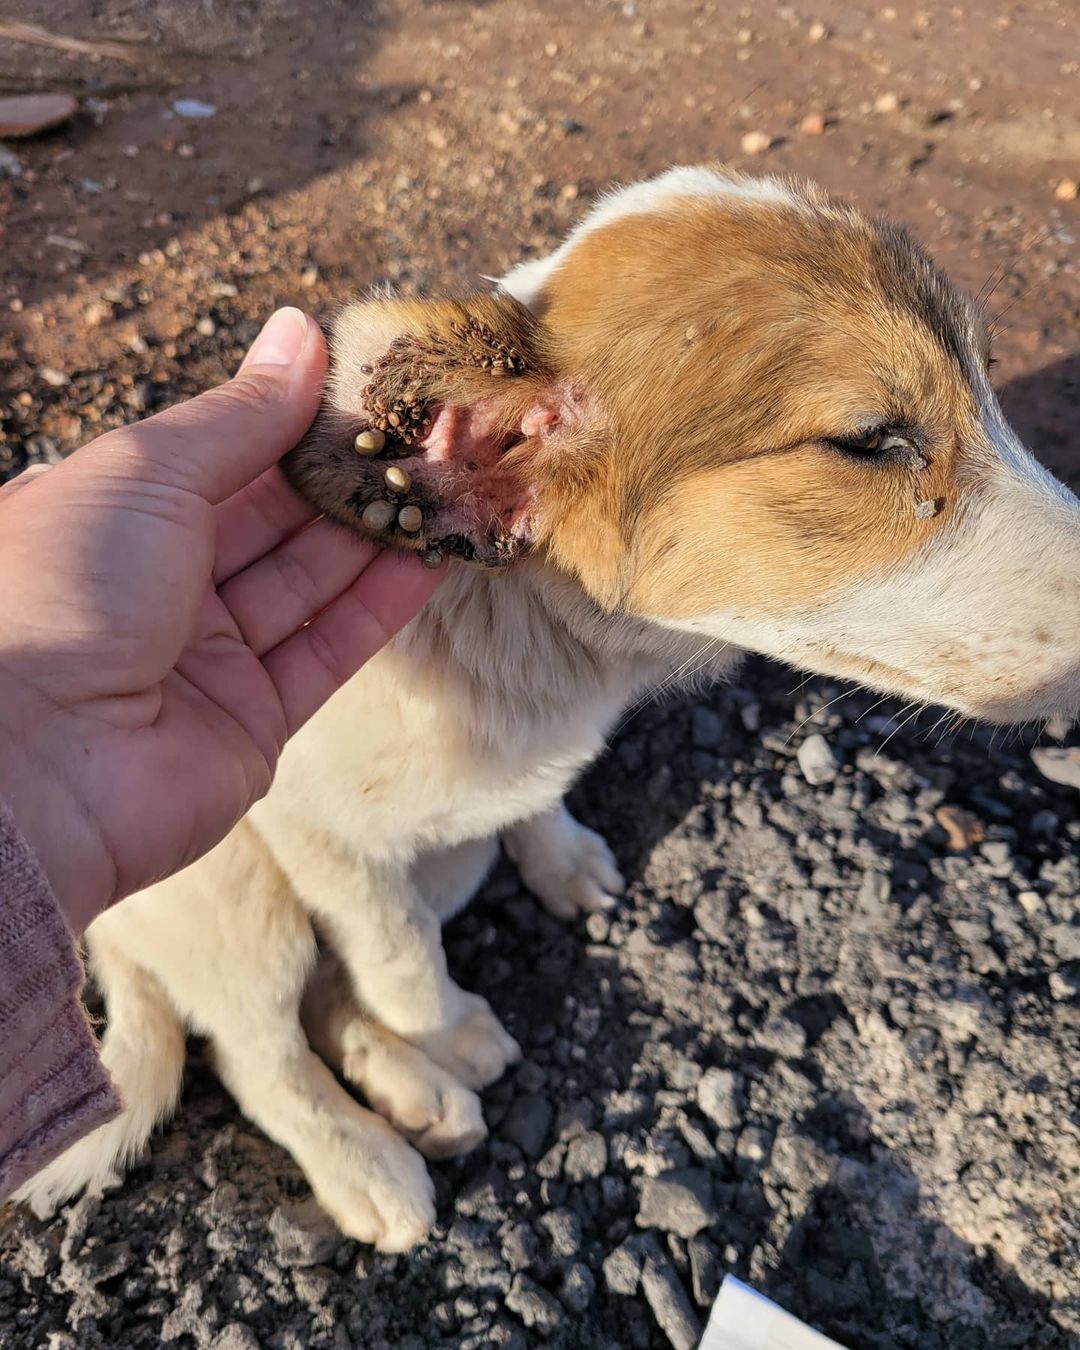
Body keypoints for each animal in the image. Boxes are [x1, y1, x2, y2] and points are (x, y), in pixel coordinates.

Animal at [18, 168, 1080, 1252]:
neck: (529, 634)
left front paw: (559, 860)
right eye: (872, 442)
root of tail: (103, 944)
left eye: (991, 389)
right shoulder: (321, 836)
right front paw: (439, 1026)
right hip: (234, 895)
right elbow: (399, 958)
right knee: (255, 1051)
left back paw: (413, 1090)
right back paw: (369, 1157)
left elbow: (517, 825)